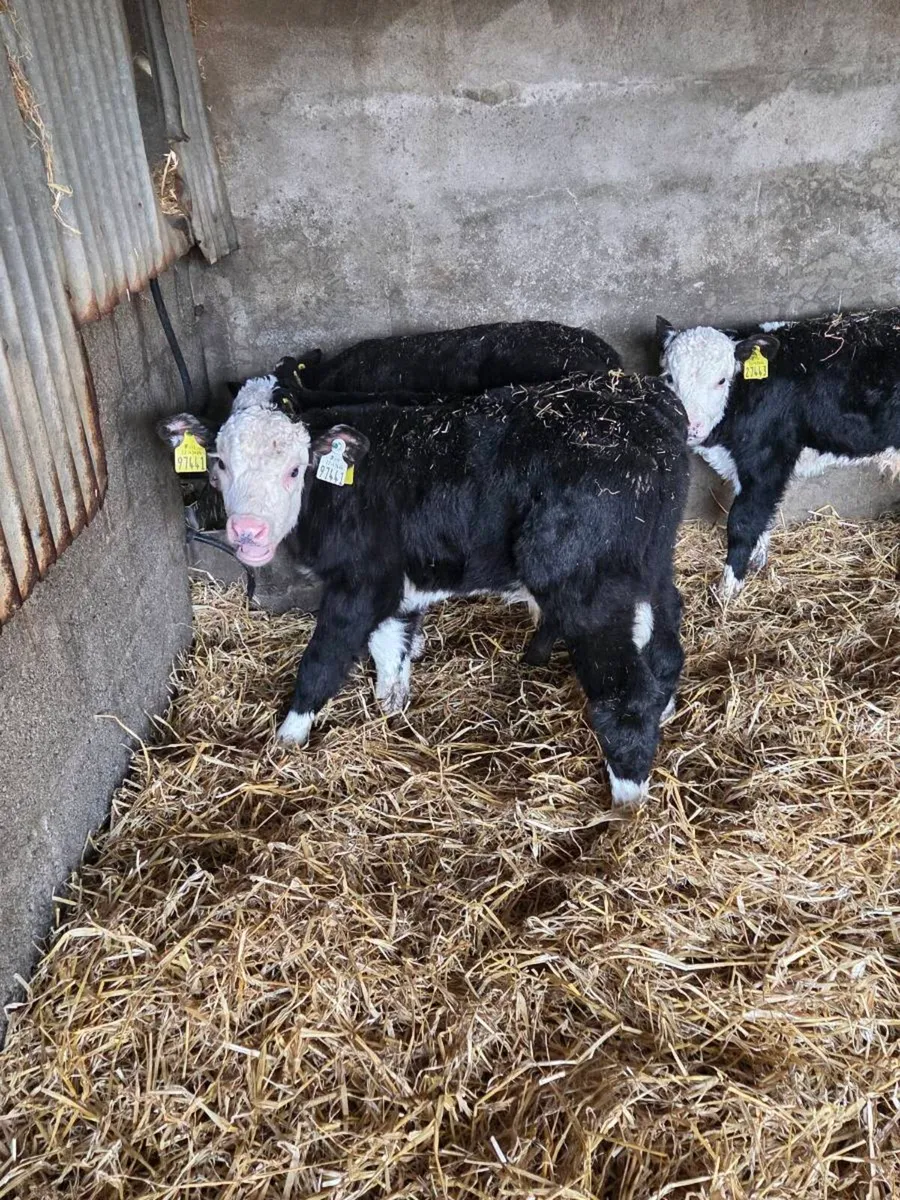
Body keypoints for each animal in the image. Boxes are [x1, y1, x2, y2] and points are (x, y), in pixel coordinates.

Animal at [159, 370, 689, 806]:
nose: (247, 532)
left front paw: (288, 738)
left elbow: (324, 658)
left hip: (587, 587)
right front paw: (392, 705)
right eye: (220, 463)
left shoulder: (359, 580)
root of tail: (648, 408)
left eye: (294, 469)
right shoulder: (395, 582)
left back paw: (626, 803)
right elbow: (390, 645)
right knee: (665, 640)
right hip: (651, 565)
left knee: (626, 693)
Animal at [657, 309, 900, 598]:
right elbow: (761, 518)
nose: (690, 426)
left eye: (721, 380)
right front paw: (756, 563)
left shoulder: (767, 461)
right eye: (670, 378)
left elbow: (743, 521)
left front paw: (729, 588)